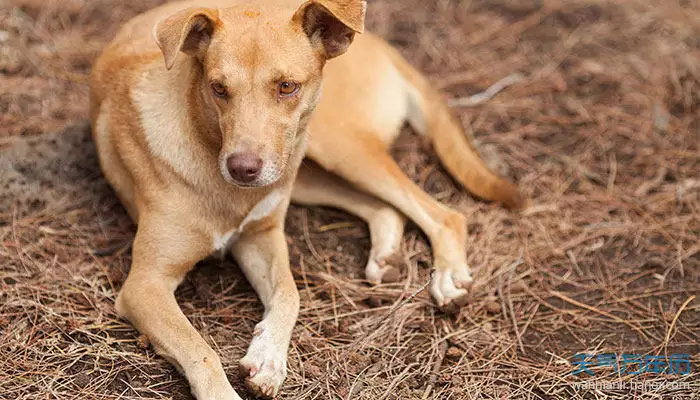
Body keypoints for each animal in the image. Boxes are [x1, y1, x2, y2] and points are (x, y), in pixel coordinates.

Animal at [89, 0, 524, 398]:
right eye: (218, 89)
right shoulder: (145, 284)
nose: (243, 168)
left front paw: (268, 357)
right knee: (385, 207)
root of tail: (381, 44)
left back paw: (448, 277)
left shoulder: (261, 236)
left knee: (444, 213)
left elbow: (290, 293)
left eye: (286, 86)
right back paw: (387, 257)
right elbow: (201, 348)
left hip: (334, 144)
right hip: (309, 168)